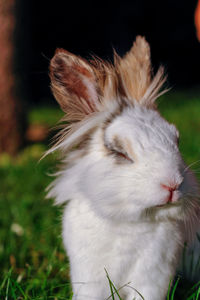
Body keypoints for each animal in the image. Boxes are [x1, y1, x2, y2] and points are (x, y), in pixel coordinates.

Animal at [46, 37, 200, 300]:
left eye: (176, 140)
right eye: (120, 152)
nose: (172, 184)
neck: (129, 222)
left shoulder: (153, 278)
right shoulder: (90, 277)